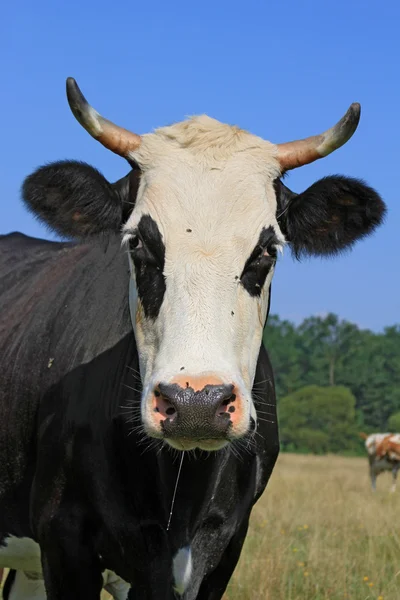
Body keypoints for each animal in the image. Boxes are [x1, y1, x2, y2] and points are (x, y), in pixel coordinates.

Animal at [0, 76, 386, 600]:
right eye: (137, 241)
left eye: (268, 248)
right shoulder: (63, 541)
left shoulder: (224, 550)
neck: (180, 501)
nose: (196, 403)